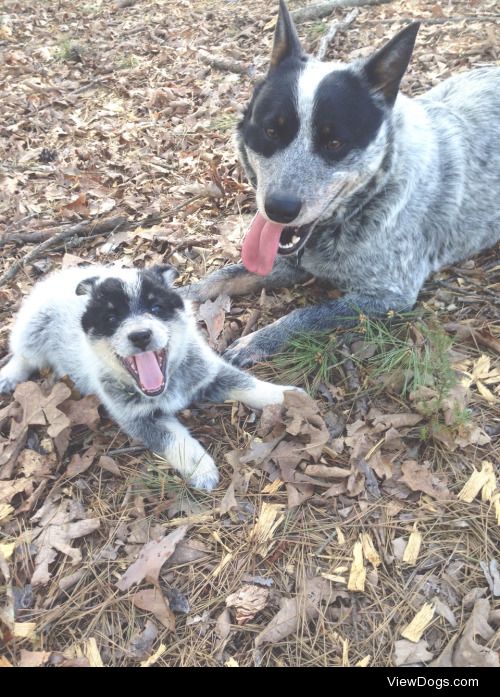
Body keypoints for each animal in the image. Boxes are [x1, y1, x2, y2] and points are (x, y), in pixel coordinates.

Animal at [0, 264, 296, 486]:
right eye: (111, 318)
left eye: (156, 309)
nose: (140, 335)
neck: (169, 383)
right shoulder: (138, 418)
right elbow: (173, 438)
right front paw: (201, 467)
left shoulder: (208, 372)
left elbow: (245, 383)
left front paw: (287, 396)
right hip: (33, 326)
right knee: (25, 355)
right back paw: (8, 376)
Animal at [187, 0, 500, 368]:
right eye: (271, 131)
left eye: (334, 142)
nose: (279, 209)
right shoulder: (290, 261)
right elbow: (223, 276)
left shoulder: (389, 294)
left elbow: (307, 314)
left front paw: (256, 341)